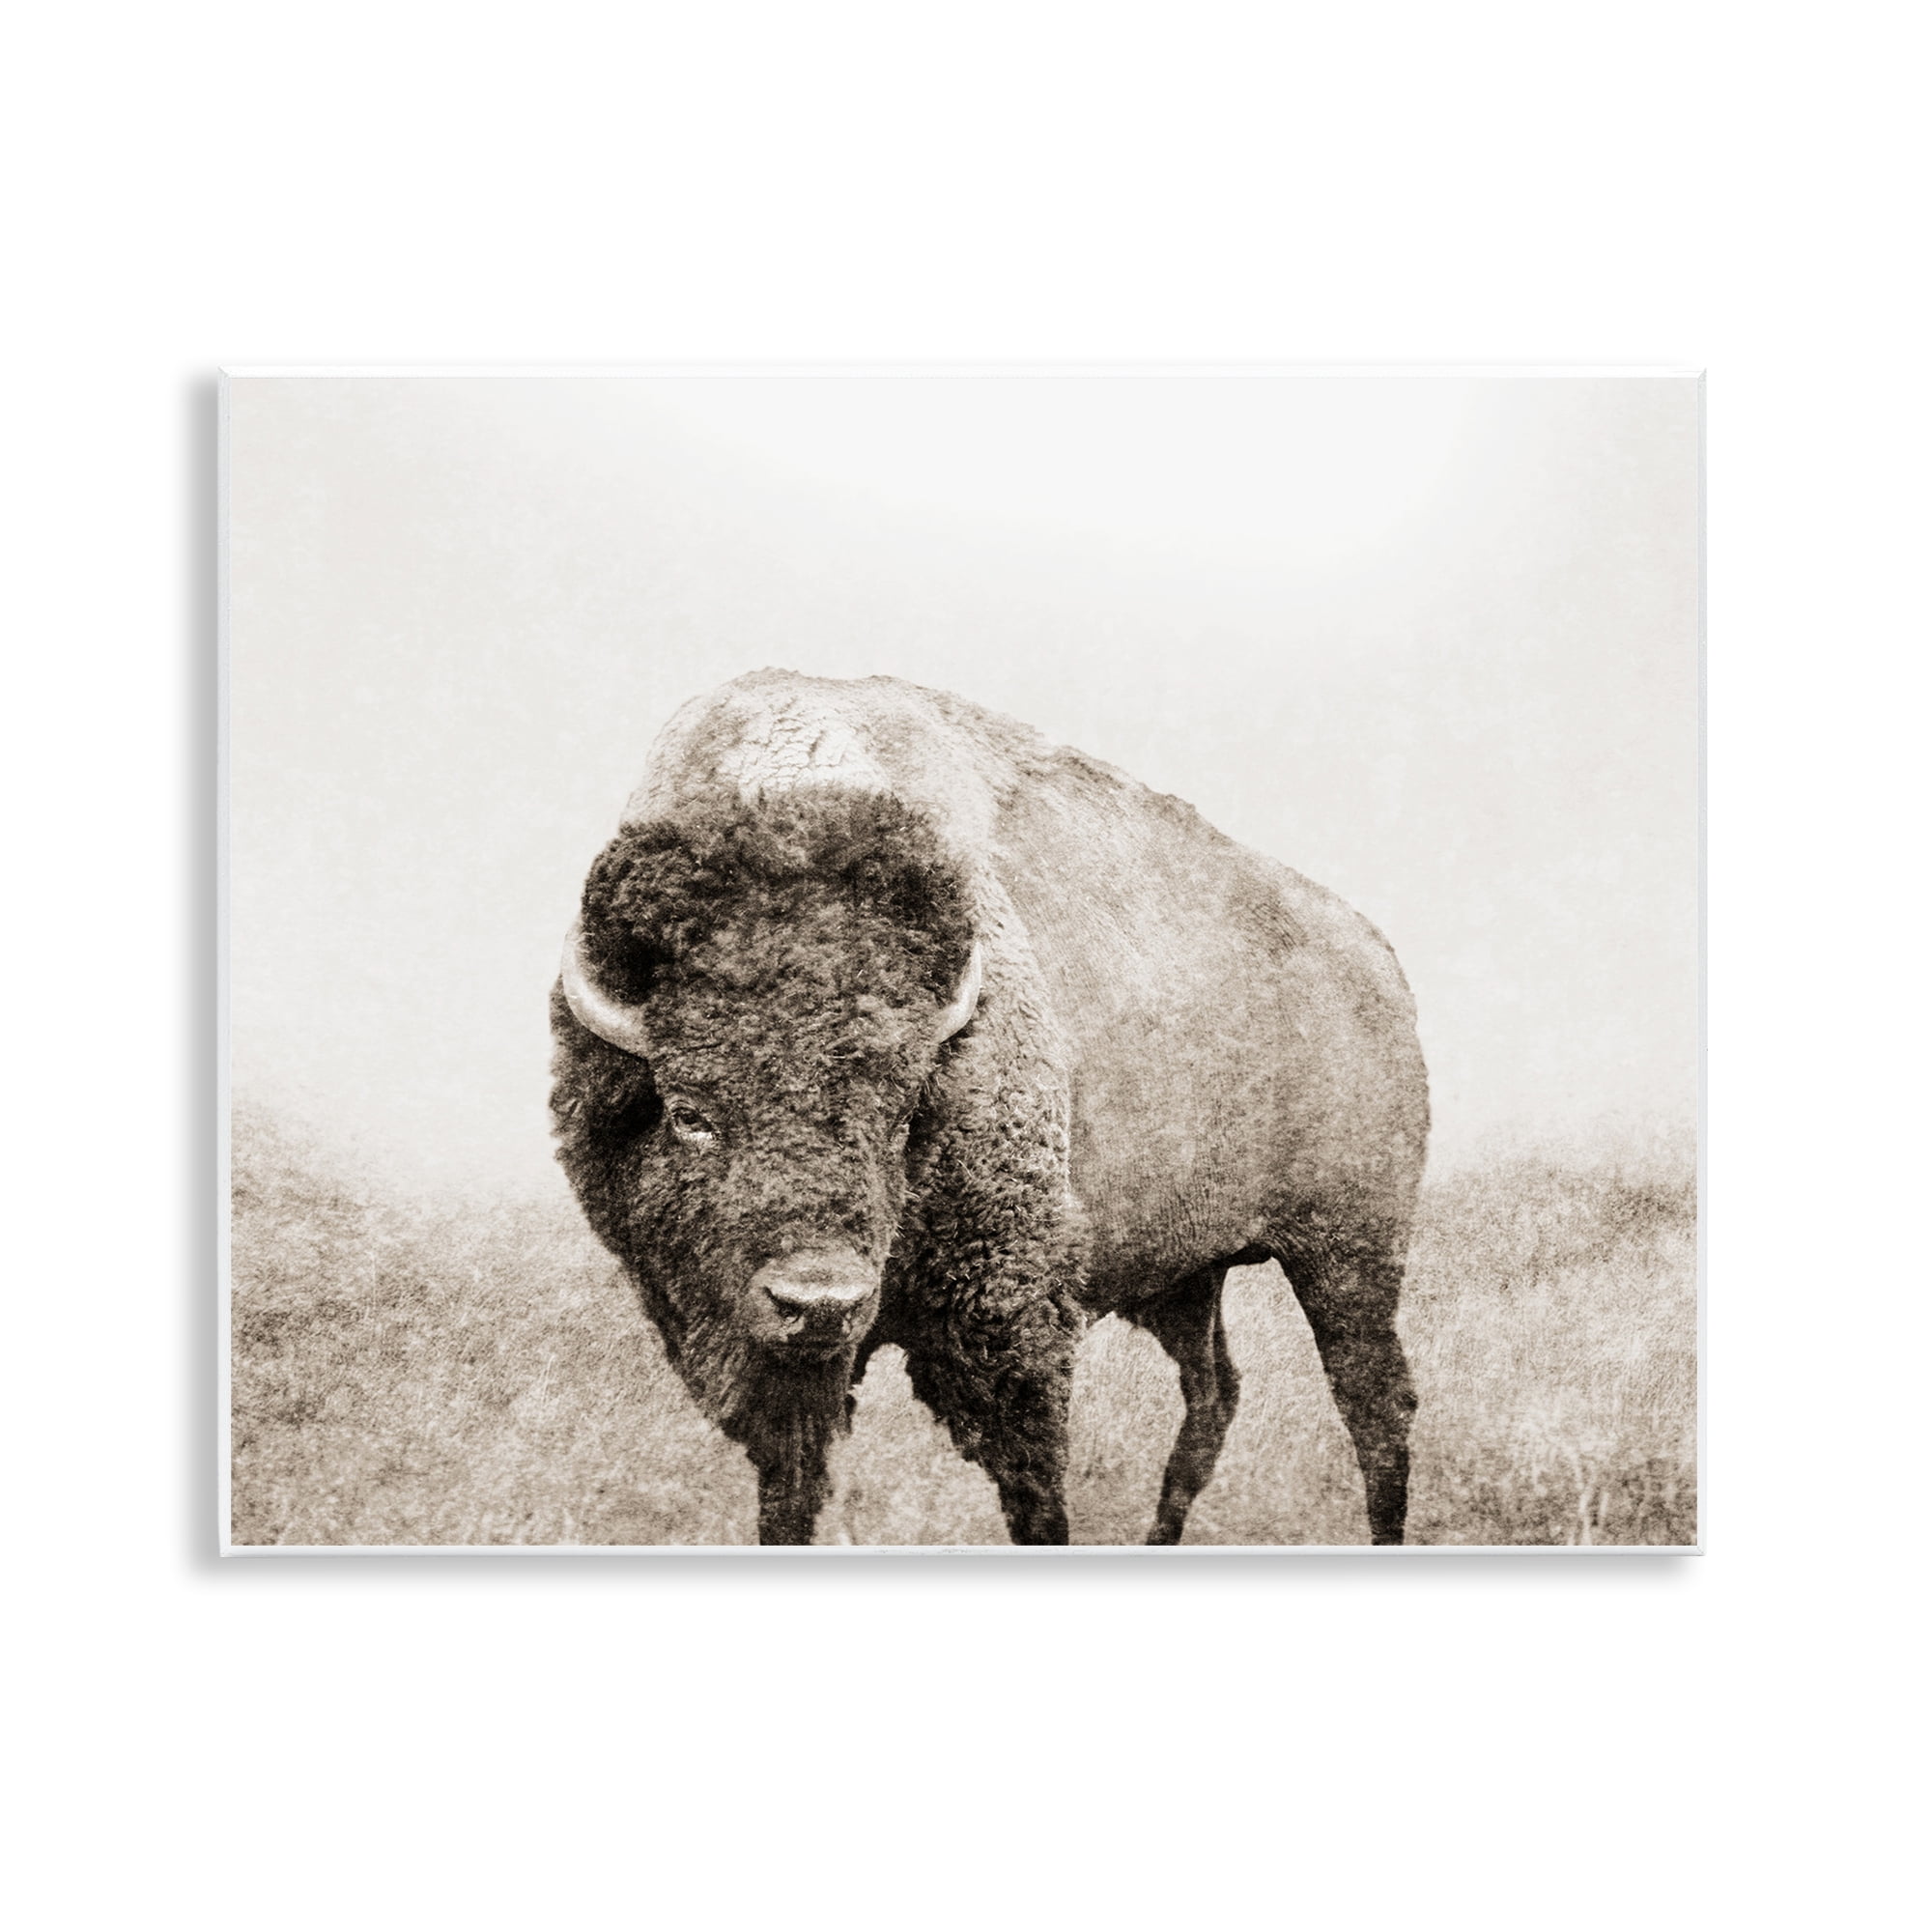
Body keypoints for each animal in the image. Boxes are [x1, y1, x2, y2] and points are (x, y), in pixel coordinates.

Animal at [551, 670, 1429, 1545]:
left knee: (1376, 1403)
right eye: (689, 1113)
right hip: (1190, 1275)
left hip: (1347, 1252)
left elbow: (1035, 1492)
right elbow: (789, 1494)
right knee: (1214, 1394)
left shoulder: (1010, 1322)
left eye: (904, 1113)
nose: (820, 1302)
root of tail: (1378, 957)